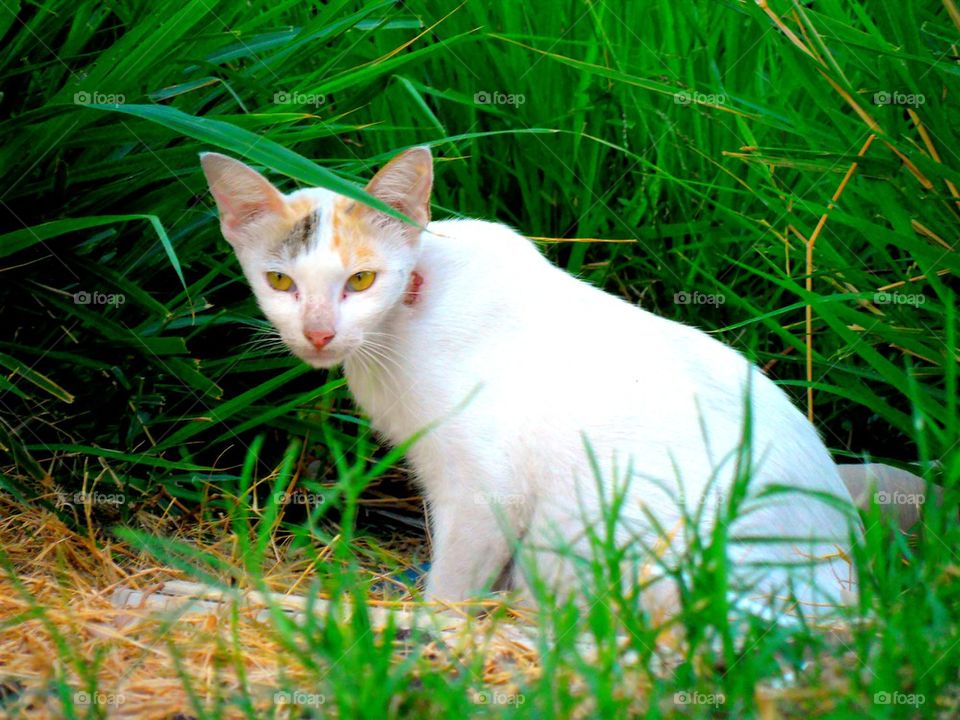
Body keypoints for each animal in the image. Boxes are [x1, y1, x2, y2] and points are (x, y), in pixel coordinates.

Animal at [202, 148, 864, 620]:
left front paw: (437, 626)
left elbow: (451, 587)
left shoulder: (485, 490)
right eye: (281, 282)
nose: (318, 333)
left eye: (361, 280)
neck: (396, 333)